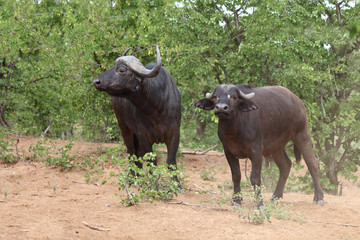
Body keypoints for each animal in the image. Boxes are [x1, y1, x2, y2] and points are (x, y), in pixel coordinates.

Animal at [93, 46, 181, 181]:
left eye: (121, 70)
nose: (96, 81)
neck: (157, 110)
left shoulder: (175, 134)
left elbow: (171, 161)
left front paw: (176, 184)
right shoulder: (143, 135)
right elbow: (151, 161)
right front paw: (153, 184)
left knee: (137, 155)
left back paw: (139, 178)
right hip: (124, 127)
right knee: (131, 153)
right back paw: (131, 179)